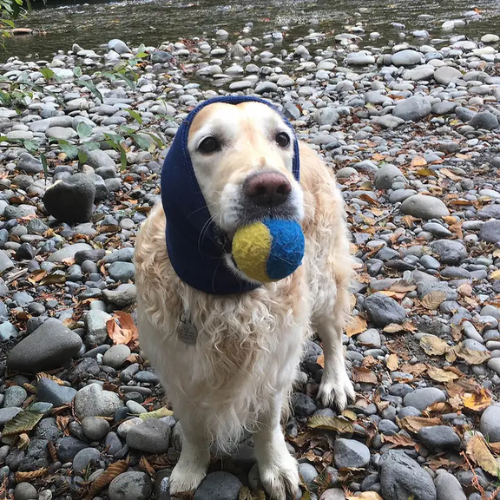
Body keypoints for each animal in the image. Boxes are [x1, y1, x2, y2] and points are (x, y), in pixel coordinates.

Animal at [135, 95, 356, 498]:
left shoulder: (273, 364)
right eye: (209, 144)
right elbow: (193, 428)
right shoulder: (178, 367)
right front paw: (190, 470)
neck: (227, 293)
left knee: (333, 336)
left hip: (325, 282)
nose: (270, 187)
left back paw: (335, 381)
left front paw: (276, 469)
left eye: (281, 138)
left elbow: (266, 425)